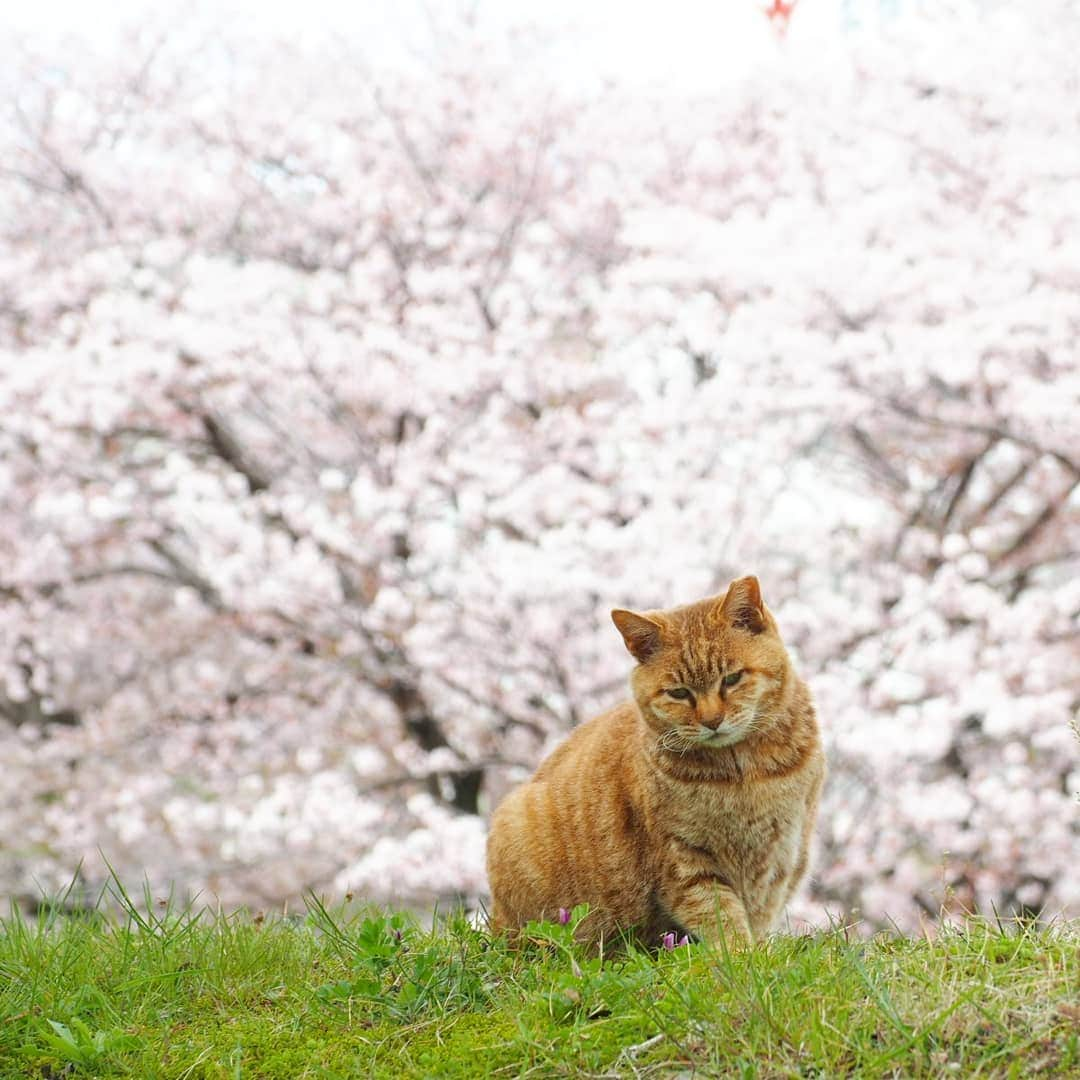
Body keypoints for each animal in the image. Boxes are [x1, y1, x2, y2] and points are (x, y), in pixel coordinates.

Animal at [486, 583, 820, 946]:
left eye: (731, 679)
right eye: (679, 693)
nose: (712, 721)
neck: (741, 773)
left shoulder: (781, 859)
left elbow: (758, 918)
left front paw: (755, 951)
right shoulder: (682, 860)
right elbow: (721, 917)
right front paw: (740, 952)